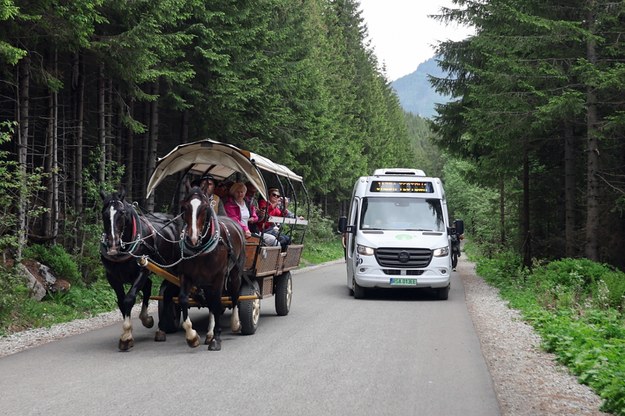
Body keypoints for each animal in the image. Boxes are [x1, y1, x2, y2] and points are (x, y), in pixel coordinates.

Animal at [98, 190, 179, 350]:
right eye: (104, 213)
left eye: (122, 212)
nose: (113, 245)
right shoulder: (113, 277)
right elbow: (121, 302)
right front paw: (128, 332)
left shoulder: (143, 270)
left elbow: (129, 299)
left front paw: (126, 336)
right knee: (149, 287)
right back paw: (147, 319)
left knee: (168, 292)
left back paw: (160, 328)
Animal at [177, 184, 245, 350]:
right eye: (184, 207)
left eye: (205, 207)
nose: (193, 238)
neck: (200, 251)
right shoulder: (186, 276)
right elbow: (183, 299)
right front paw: (192, 336)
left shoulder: (219, 276)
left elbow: (217, 302)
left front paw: (217, 338)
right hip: (207, 282)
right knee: (210, 302)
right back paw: (208, 334)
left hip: (235, 273)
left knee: (234, 295)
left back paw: (235, 324)